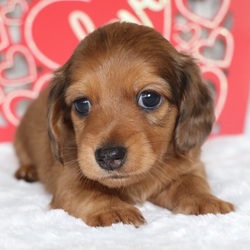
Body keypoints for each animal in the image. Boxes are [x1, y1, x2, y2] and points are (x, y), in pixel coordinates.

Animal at [14, 22, 234, 228]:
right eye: (81, 104)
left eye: (150, 98)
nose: (108, 156)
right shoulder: (69, 182)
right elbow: (94, 194)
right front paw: (114, 210)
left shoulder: (190, 167)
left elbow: (191, 183)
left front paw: (206, 201)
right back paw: (28, 170)